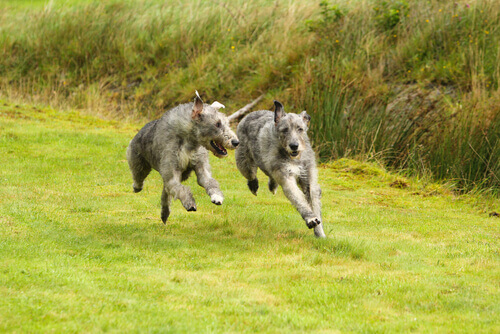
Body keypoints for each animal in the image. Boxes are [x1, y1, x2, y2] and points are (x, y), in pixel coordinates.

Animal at [128, 90, 239, 222]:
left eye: (227, 123)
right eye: (217, 124)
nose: (236, 142)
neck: (189, 141)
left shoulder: (201, 167)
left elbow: (210, 181)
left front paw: (217, 197)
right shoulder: (172, 172)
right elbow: (180, 189)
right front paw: (189, 203)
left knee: (166, 192)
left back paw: (165, 213)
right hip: (139, 163)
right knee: (140, 178)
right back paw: (137, 187)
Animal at [236, 100, 326, 237]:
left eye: (300, 129)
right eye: (285, 130)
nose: (294, 146)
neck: (294, 158)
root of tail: (250, 114)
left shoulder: (308, 177)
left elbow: (313, 198)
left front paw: (320, 233)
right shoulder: (286, 177)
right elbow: (297, 197)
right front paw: (310, 218)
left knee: (271, 176)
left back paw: (272, 186)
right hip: (244, 162)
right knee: (251, 174)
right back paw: (253, 185)